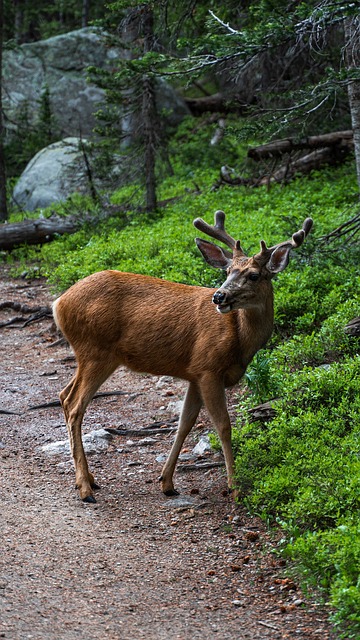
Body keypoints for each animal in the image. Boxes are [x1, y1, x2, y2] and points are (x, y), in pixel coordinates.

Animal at [52, 212, 312, 502]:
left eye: (254, 275)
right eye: (227, 271)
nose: (219, 296)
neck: (240, 340)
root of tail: (58, 303)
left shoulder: (195, 374)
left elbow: (184, 424)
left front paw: (167, 482)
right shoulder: (209, 367)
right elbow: (223, 425)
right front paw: (234, 486)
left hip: (91, 356)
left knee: (63, 395)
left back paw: (89, 480)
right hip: (95, 351)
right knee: (75, 405)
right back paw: (85, 488)